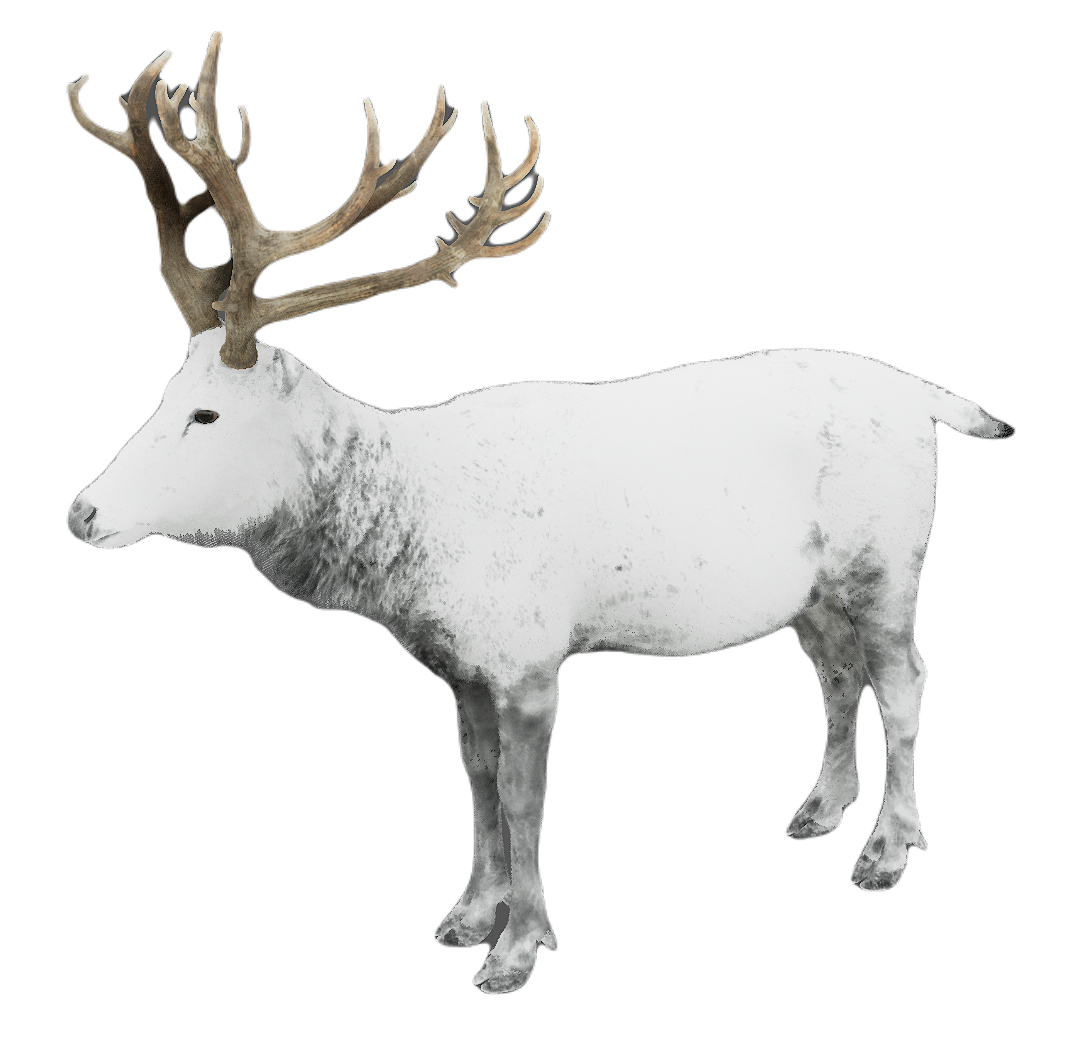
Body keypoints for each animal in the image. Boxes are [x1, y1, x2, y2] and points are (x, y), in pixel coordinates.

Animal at [65, 33, 1014, 994]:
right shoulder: (458, 665)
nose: (84, 513)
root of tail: (920, 395)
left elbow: (526, 800)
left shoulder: (530, 655)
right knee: (835, 668)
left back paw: (886, 850)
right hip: (808, 588)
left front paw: (518, 948)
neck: (418, 540)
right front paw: (465, 916)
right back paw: (820, 809)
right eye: (160, 395)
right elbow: (477, 781)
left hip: (890, 552)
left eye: (206, 414)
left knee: (905, 676)